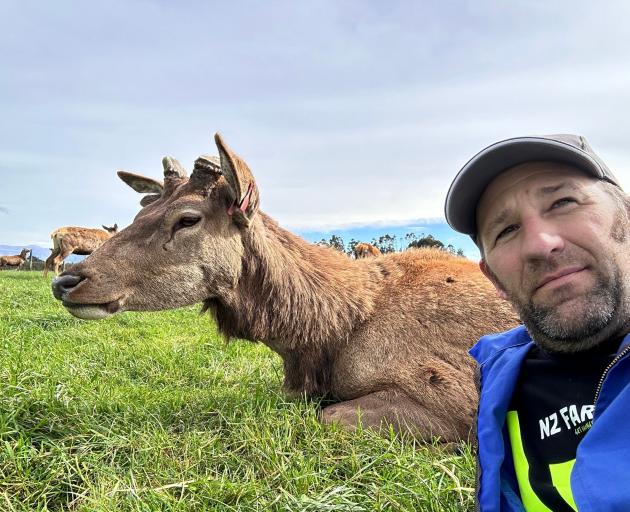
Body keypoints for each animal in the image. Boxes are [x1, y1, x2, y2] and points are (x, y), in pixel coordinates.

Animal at [51, 134, 520, 442]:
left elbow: (328, 416)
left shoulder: (454, 393)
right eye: (139, 215)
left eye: (187, 218)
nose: (67, 280)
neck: (324, 336)